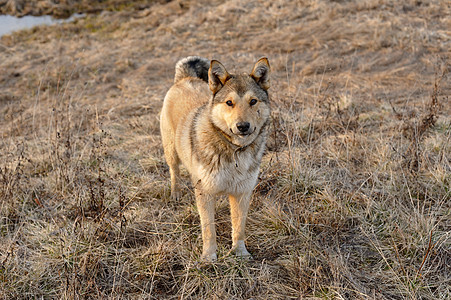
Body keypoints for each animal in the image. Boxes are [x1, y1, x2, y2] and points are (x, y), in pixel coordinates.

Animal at [160, 55, 270, 260]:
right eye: (229, 103)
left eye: (253, 101)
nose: (243, 126)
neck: (234, 151)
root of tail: (185, 79)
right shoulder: (205, 193)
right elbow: (209, 230)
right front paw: (209, 257)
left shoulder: (242, 193)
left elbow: (239, 228)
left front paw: (240, 253)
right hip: (171, 151)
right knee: (174, 171)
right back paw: (176, 193)